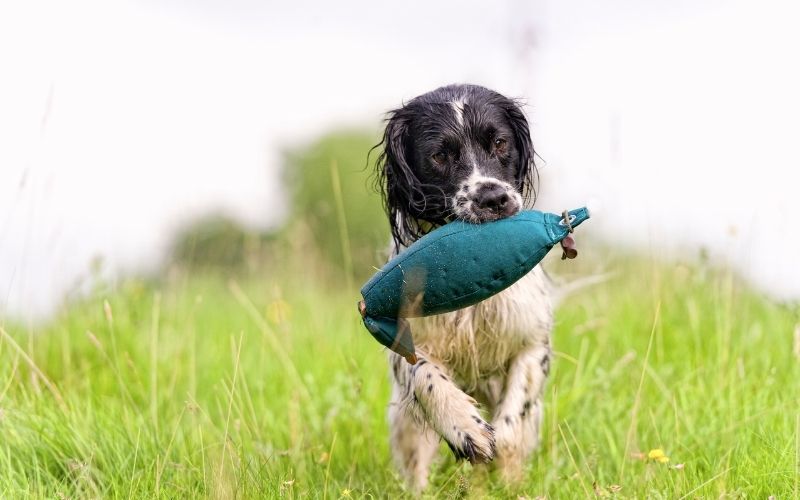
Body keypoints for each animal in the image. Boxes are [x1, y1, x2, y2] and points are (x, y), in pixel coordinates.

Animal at [374, 84, 552, 490]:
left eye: (500, 143)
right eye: (439, 155)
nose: (494, 198)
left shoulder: (532, 342)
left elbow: (513, 419)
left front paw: (500, 451)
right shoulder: (407, 340)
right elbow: (425, 375)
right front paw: (466, 428)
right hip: (405, 422)